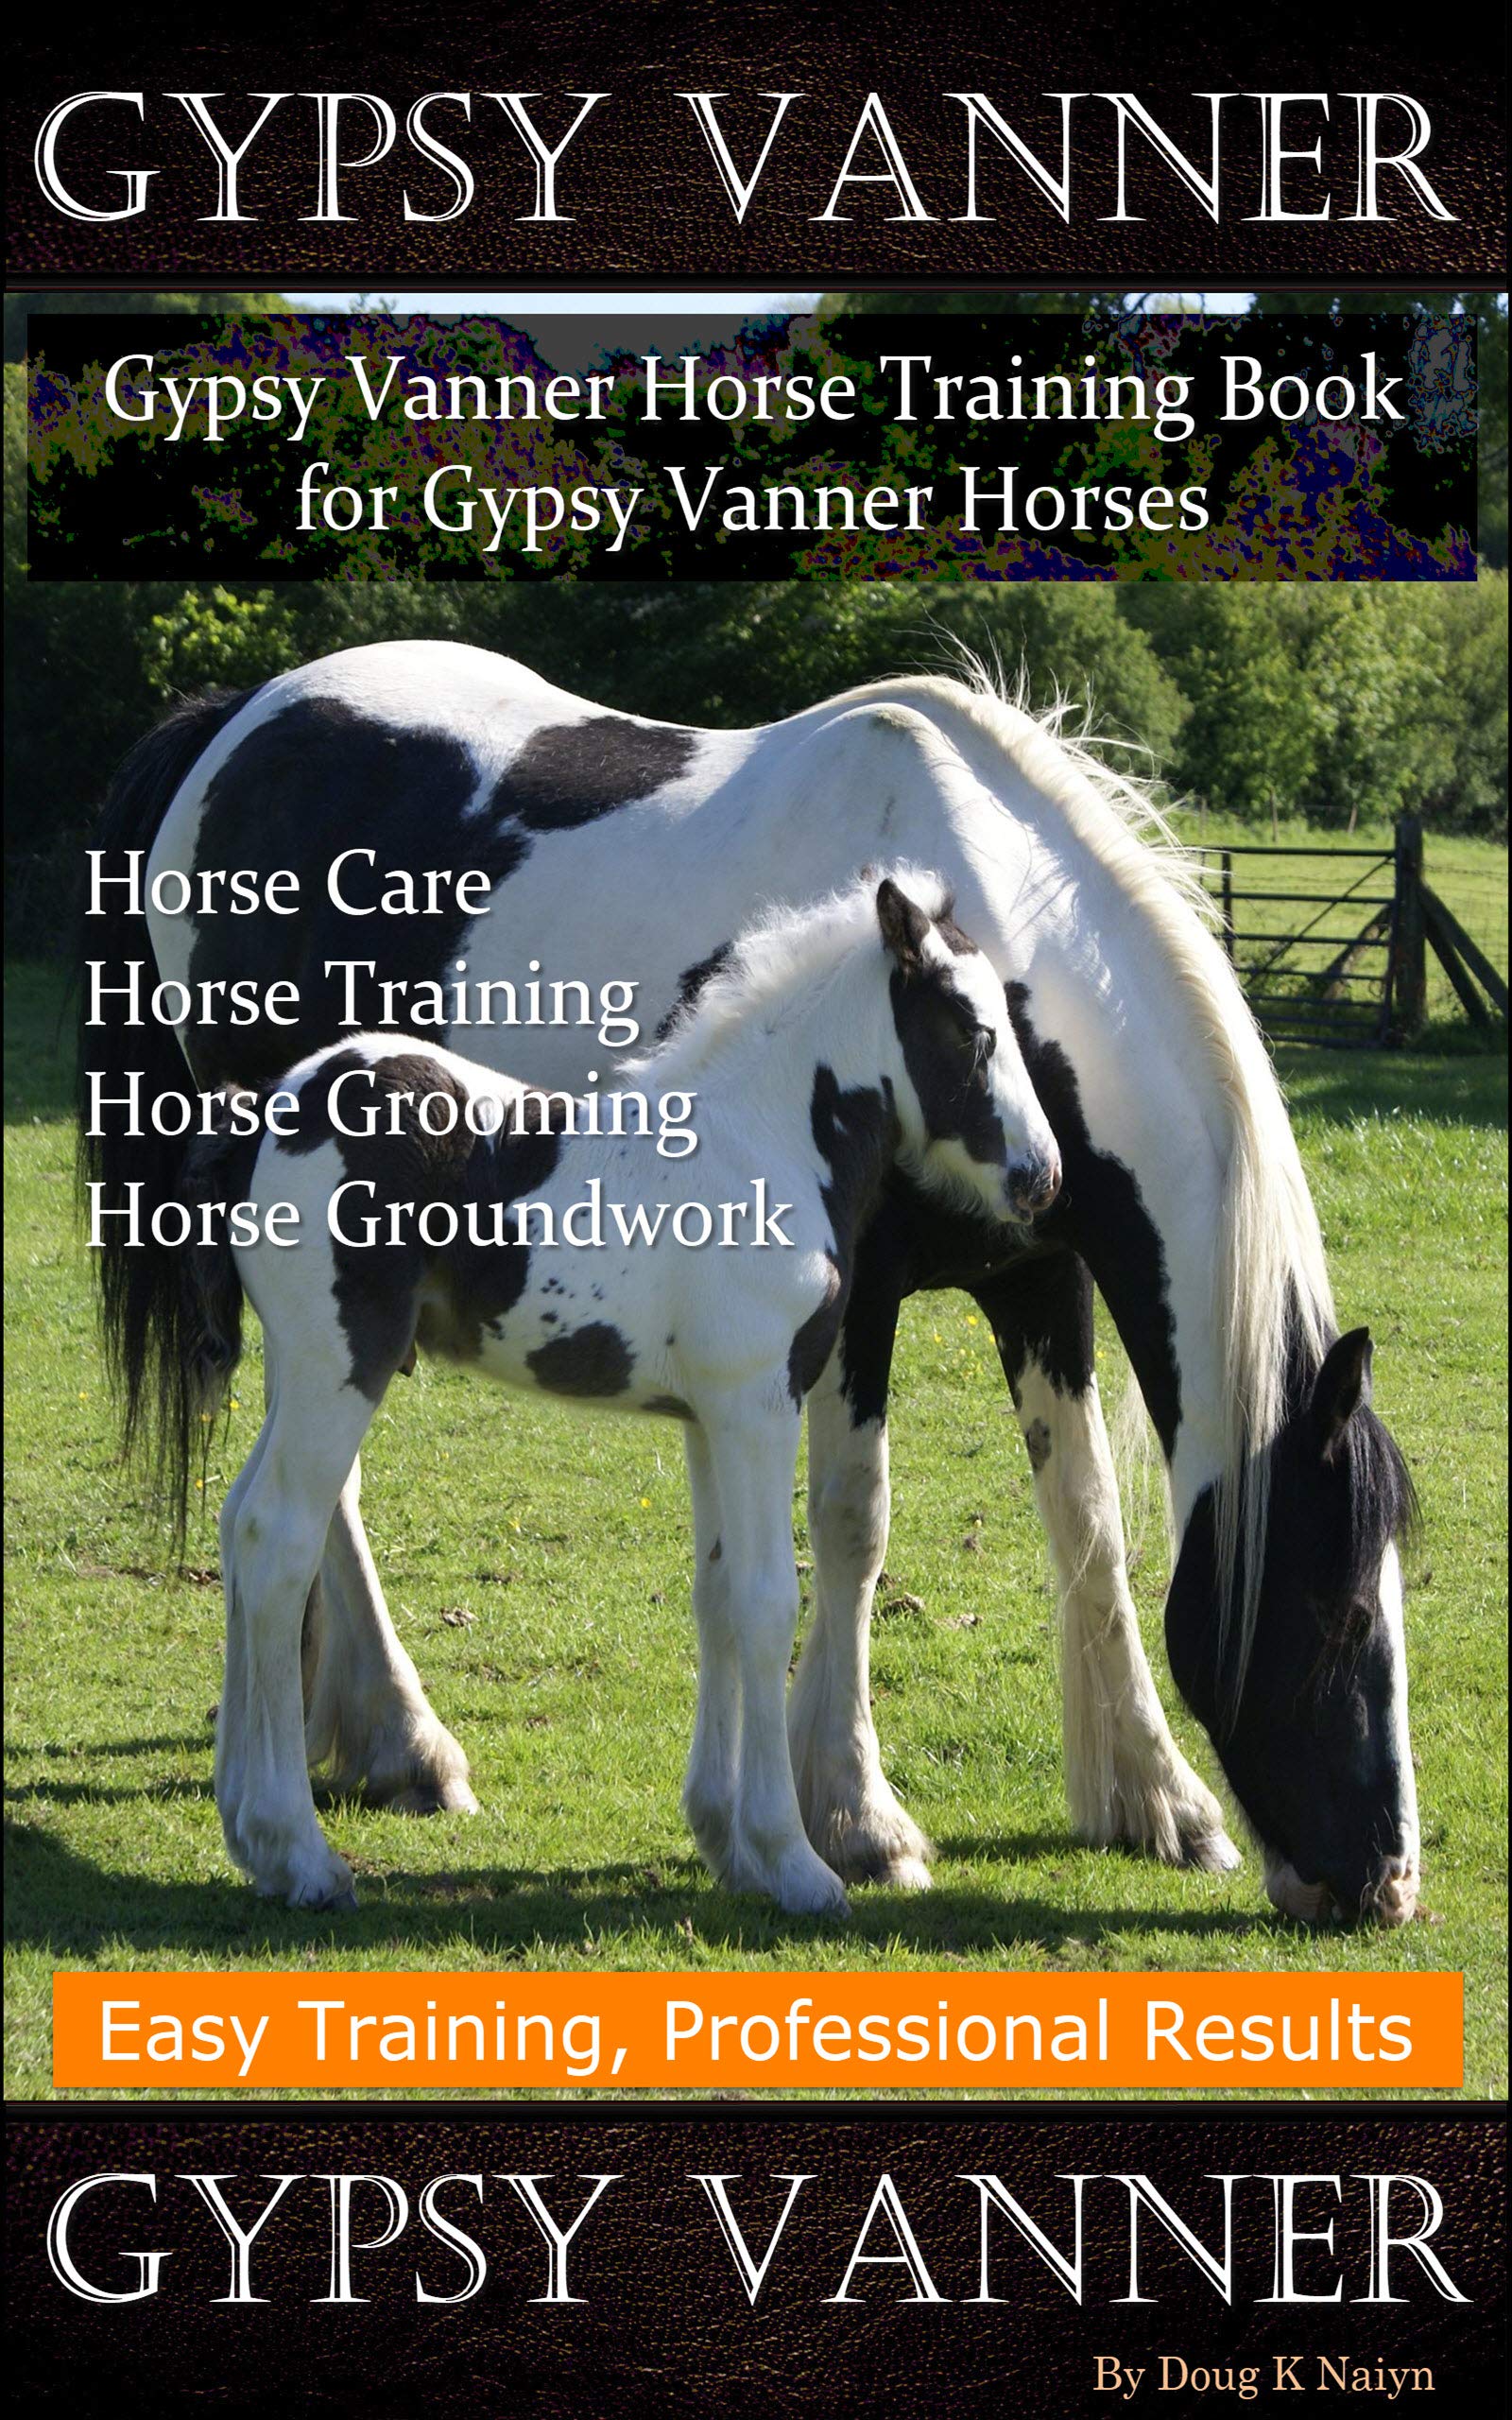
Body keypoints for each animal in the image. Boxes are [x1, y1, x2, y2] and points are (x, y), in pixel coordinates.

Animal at [173, 871, 1062, 1913]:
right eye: (968, 1030)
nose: (1041, 1178)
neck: (760, 1147)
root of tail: (266, 1112)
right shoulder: (759, 1403)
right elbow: (767, 1600)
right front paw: (795, 1862)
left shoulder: (709, 1419)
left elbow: (718, 1596)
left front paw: (728, 1842)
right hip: (338, 1365)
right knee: (278, 1537)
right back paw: (301, 1853)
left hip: (296, 1367)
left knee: (240, 1524)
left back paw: (251, 1833)